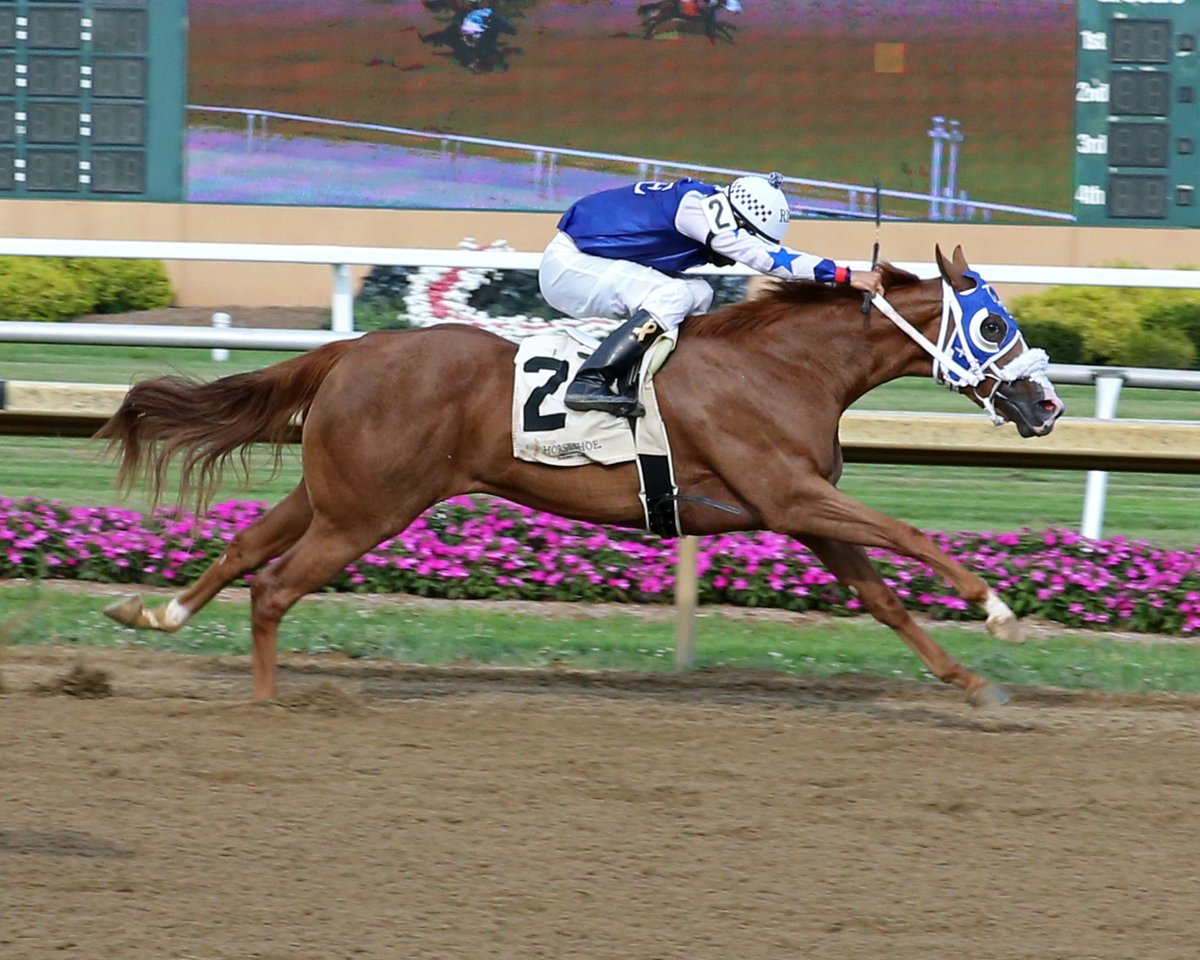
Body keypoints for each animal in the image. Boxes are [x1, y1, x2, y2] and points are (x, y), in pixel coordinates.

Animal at [97, 246, 1064, 707]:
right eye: (992, 326)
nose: (1047, 403)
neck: (785, 364)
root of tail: (349, 349)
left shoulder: (801, 510)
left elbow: (884, 598)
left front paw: (971, 682)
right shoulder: (790, 494)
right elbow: (908, 534)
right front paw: (999, 611)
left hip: (334, 492)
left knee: (243, 550)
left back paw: (155, 613)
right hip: (367, 510)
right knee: (273, 588)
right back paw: (267, 705)